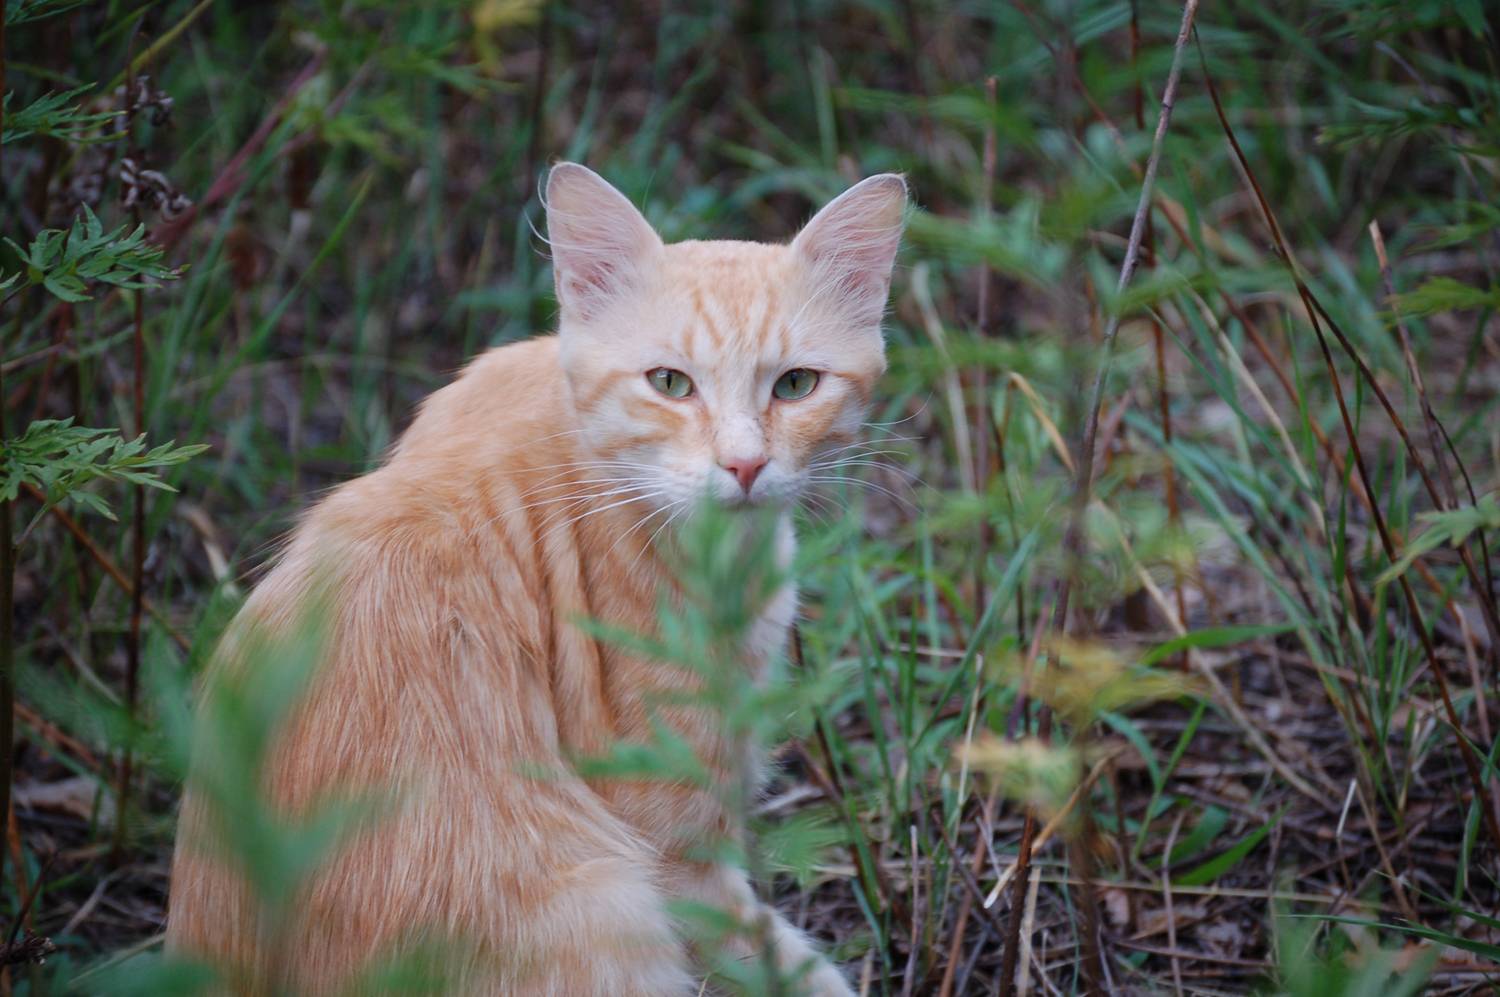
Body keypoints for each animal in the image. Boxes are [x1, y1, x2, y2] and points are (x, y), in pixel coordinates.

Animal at [170, 159, 906, 989]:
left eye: (795, 385)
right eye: (670, 383)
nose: (744, 465)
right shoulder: (677, 844)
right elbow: (774, 957)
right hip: (608, 906)